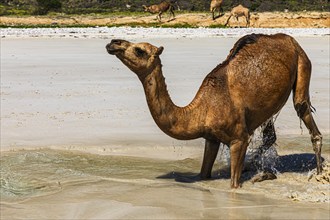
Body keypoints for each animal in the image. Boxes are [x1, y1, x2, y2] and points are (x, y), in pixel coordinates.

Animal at [105, 33, 322, 188]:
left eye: (139, 50)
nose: (113, 43)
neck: (202, 109)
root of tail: (289, 39)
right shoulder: (211, 139)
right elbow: (203, 173)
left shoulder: (238, 138)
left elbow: (234, 185)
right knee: (270, 135)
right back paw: (258, 170)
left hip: (302, 62)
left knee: (305, 114)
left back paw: (319, 174)